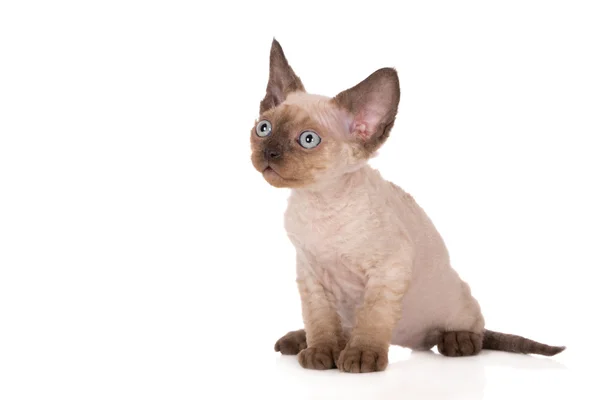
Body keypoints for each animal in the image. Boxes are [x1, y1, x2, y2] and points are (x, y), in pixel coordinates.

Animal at [250, 39, 568, 374]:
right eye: (264, 128)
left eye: (308, 140)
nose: (269, 152)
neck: (318, 202)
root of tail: (411, 341)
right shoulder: (311, 276)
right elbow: (320, 322)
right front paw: (322, 353)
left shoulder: (388, 269)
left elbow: (372, 319)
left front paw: (361, 357)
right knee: (344, 328)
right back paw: (301, 340)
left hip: (456, 297)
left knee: (477, 330)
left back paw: (457, 340)